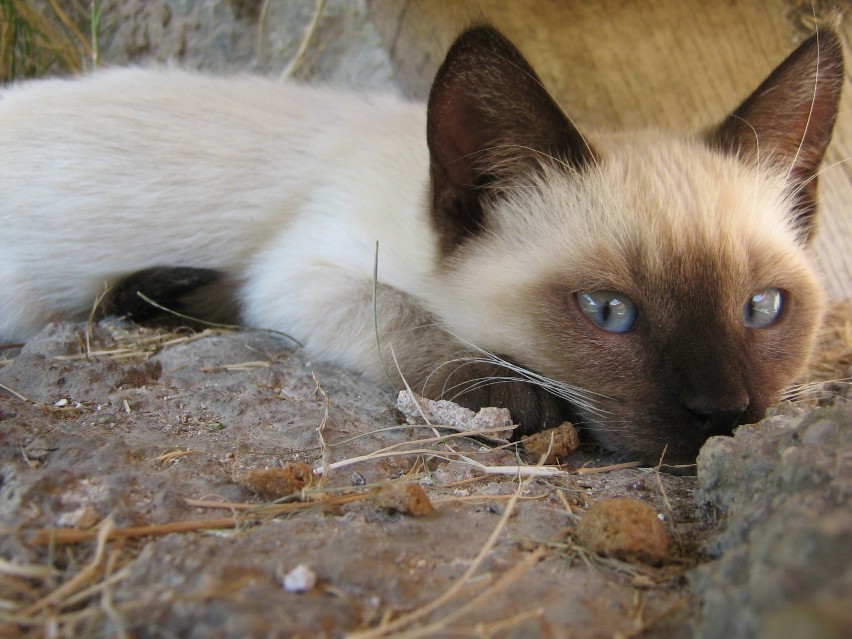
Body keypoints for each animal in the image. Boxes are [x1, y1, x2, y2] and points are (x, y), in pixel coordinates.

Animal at [0, 26, 844, 464]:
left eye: (762, 308)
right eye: (608, 312)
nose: (726, 412)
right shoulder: (296, 273)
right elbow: (410, 320)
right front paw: (514, 399)